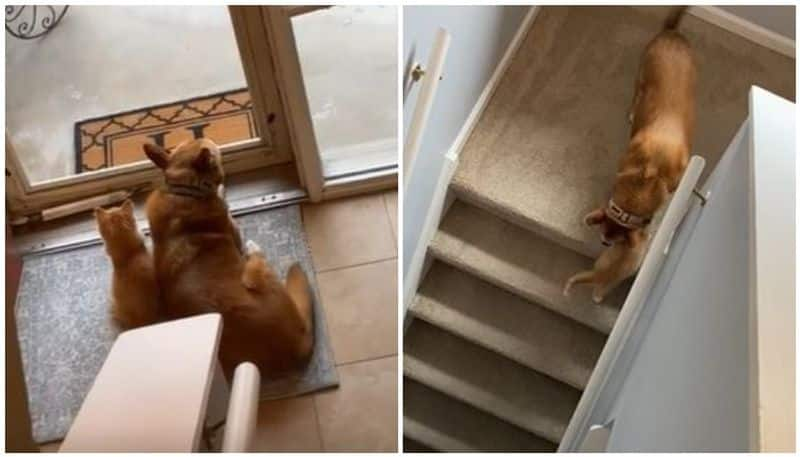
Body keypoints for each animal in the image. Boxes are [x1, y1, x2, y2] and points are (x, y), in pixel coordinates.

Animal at [145, 139, 314, 374]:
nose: (211, 141)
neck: (184, 191)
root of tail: (298, 343)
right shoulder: (234, 231)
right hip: (255, 276)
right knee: (256, 258)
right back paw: (253, 249)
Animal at [588, 5, 692, 246]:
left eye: (611, 241)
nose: (603, 243)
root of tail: (671, 34)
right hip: (641, 78)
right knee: (636, 96)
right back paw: (632, 112)